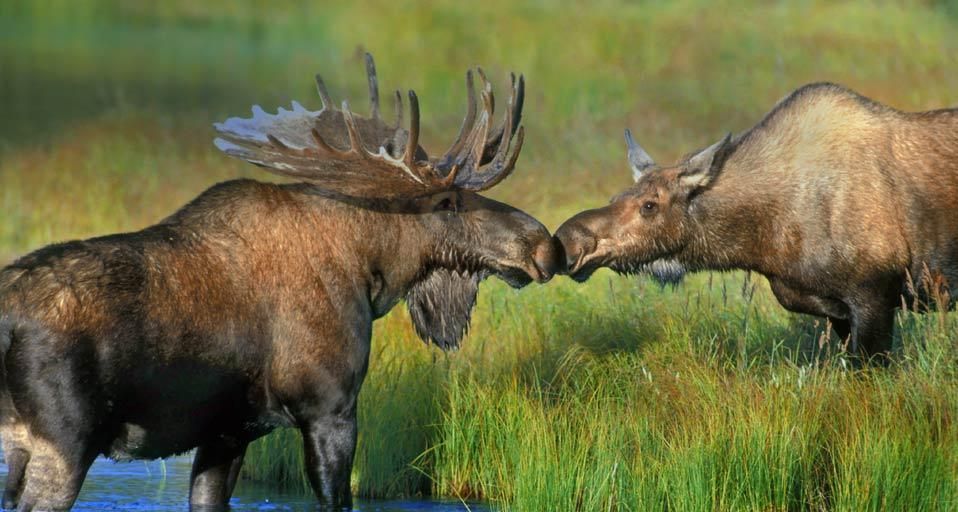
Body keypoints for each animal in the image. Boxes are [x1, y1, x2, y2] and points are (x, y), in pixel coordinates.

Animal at [0, 54, 558, 511]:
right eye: (451, 203)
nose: (544, 245)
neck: (369, 272)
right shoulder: (331, 407)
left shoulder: (228, 432)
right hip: (62, 440)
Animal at [555, 82, 958, 365]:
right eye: (615, 197)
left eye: (650, 205)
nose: (569, 240)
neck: (763, 240)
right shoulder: (828, 304)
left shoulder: (875, 294)